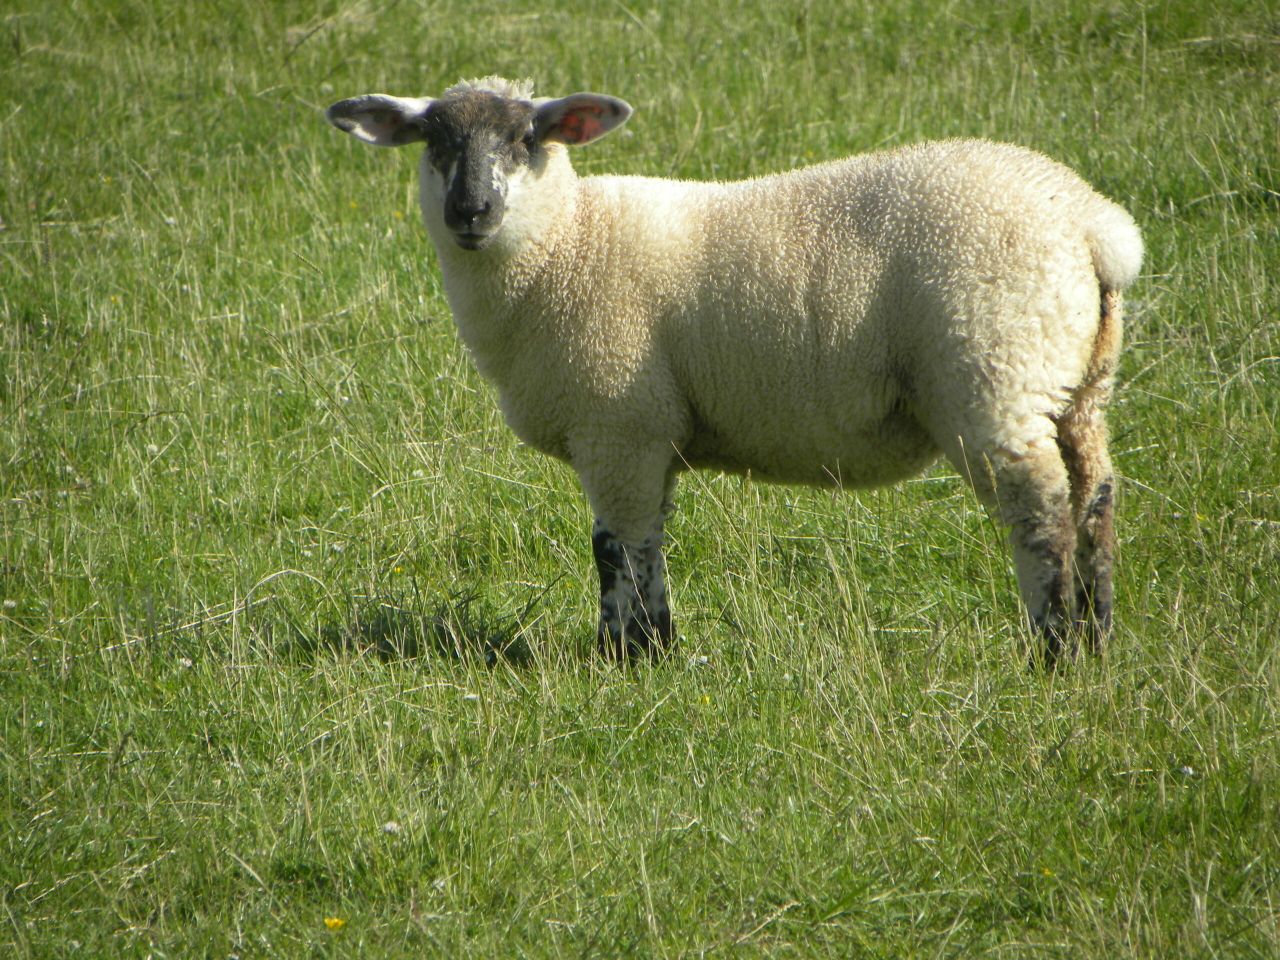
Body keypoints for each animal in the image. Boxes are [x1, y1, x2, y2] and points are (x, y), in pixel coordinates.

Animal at [325, 76, 1144, 667]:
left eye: (528, 138)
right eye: (433, 140)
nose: (471, 210)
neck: (567, 244)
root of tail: (1093, 226)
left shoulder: (618, 426)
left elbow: (622, 547)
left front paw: (633, 658)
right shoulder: (643, 437)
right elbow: (634, 545)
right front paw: (643, 649)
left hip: (993, 371)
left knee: (1039, 509)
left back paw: (1053, 651)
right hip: (1074, 380)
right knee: (1095, 495)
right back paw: (1098, 637)